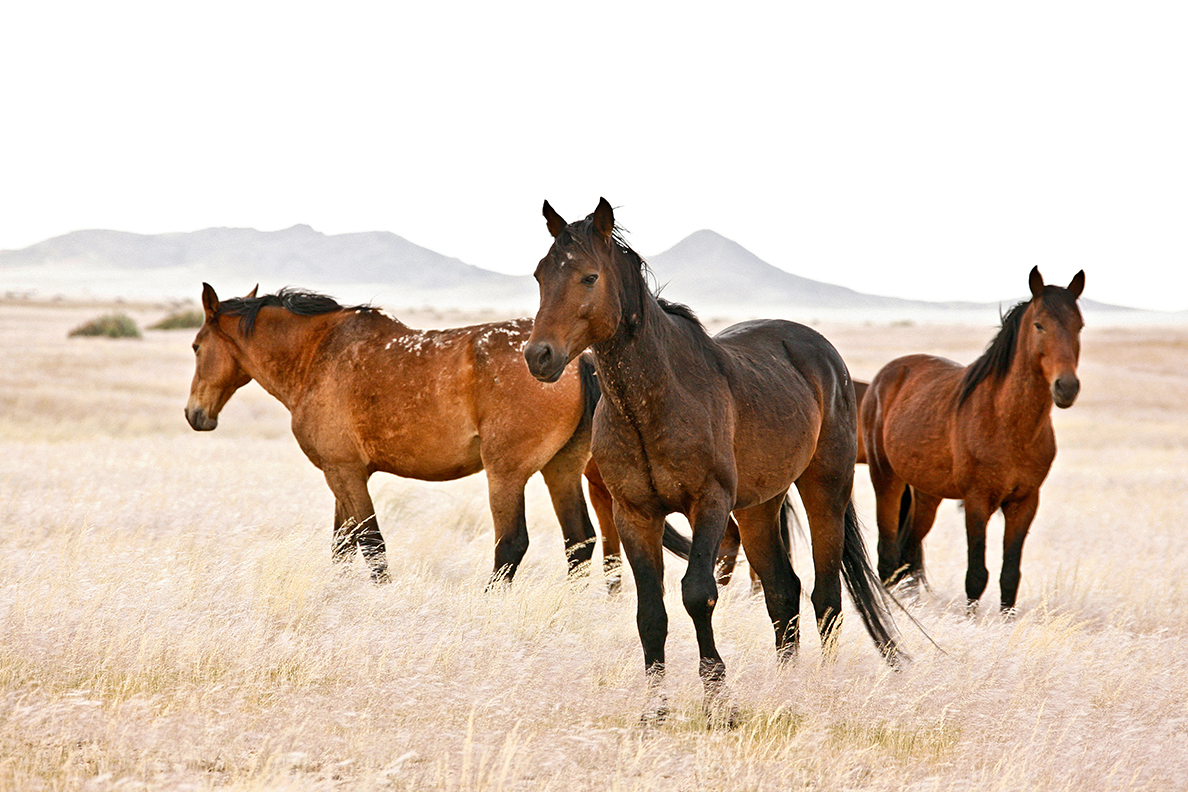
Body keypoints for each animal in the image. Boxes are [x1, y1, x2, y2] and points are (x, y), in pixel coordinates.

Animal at [185, 283, 609, 586]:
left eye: (196, 346)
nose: (195, 414)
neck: (318, 355)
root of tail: (575, 359)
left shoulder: (344, 472)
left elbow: (370, 544)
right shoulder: (343, 474)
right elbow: (342, 545)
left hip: (506, 474)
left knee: (512, 544)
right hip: (561, 470)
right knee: (579, 541)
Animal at [524, 199, 898, 719]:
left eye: (589, 277)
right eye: (540, 274)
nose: (538, 355)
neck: (654, 403)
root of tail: (826, 357)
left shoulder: (710, 504)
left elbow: (697, 594)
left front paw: (719, 699)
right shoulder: (634, 514)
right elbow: (650, 612)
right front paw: (655, 711)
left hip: (825, 490)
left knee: (826, 597)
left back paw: (821, 688)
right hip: (759, 507)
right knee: (783, 591)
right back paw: (785, 685)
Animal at [861, 267, 1085, 614]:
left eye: (1079, 326)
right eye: (1039, 325)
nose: (1067, 387)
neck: (1007, 421)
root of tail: (885, 376)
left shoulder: (1024, 502)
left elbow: (1010, 573)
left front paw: (1006, 621)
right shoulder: (977, 501)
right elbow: (976, 573)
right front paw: (972, 620)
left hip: (927, 493)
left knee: (909, 551)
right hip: (886, 480)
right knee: (887, 556)